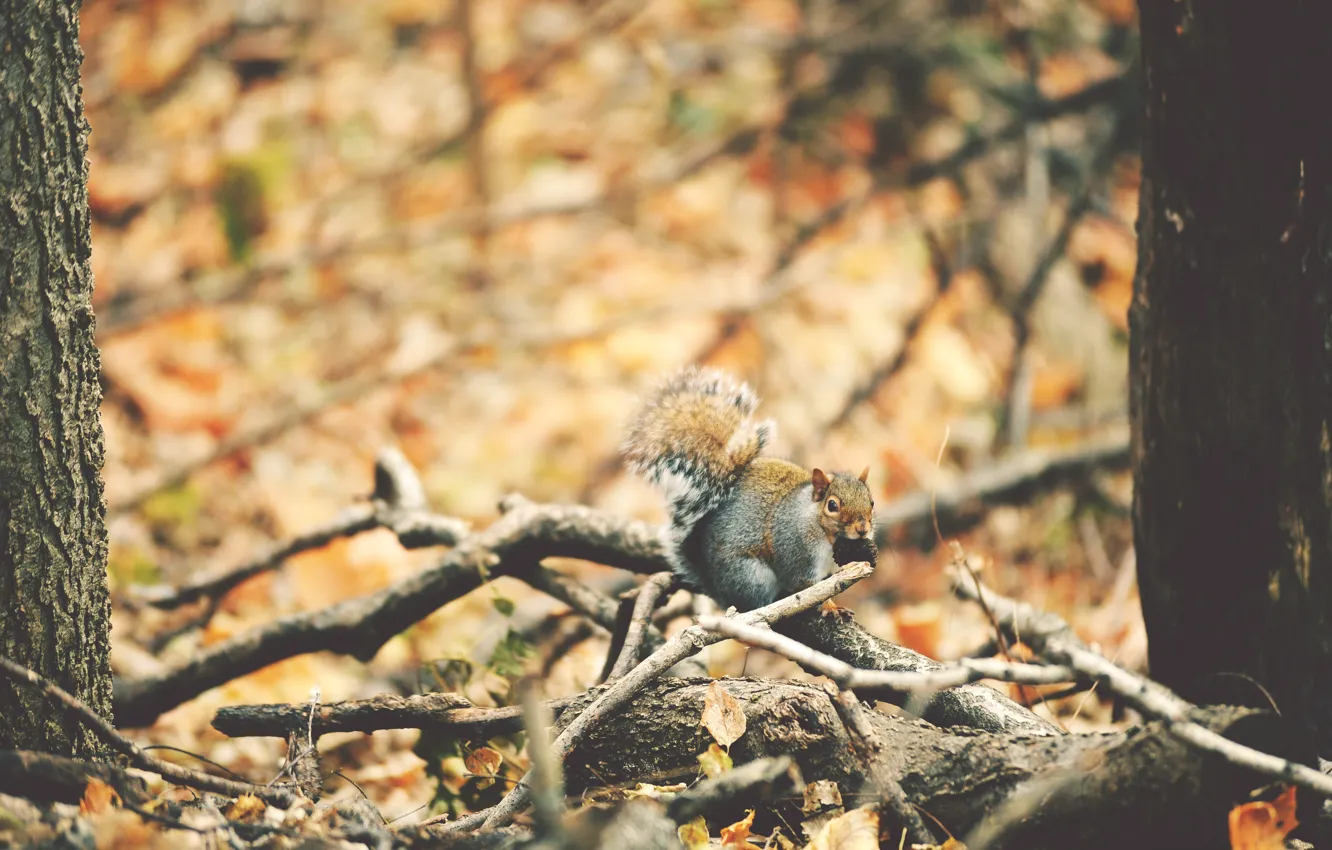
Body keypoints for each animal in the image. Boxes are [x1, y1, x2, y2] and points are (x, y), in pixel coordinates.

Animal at [620, 367, 873, 612]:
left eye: (871, 502)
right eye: (832, 505)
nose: (862, 529)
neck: (821, 529)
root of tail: (716, 588)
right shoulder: (794, 550)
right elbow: (807, 588)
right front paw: (830, 607)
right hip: (751, 577)